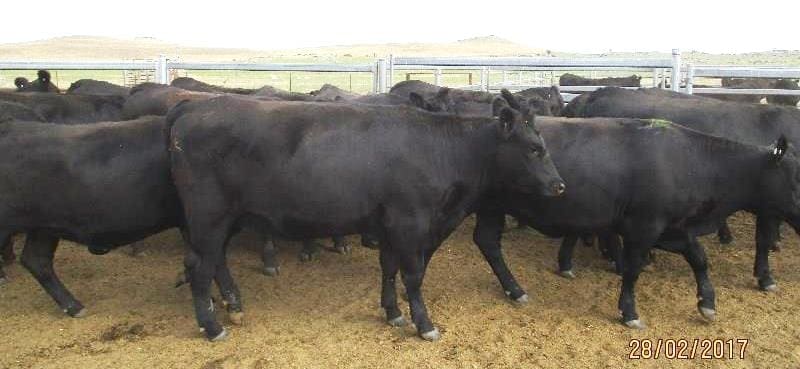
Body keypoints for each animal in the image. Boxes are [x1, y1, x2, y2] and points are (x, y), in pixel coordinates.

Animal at [164, 95, 564, 340]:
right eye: (534, 148)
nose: (560, 185)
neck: (442, 149)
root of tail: (194, 107)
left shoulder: (388, 226)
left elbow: (388, 268)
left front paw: (392, 312)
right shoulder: (410, 222)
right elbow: (413, 275)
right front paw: (424, 324)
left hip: (224, 219)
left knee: (215, 262)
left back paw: (233, 305)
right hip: (208, 216)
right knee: (199, 266)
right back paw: (212, 325)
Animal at [472, 117, 800, 328]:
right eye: (795, 179)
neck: (691, 163)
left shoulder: (674, 228)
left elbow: (699, 258)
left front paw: (707, 301)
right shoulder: (644, 228)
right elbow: (632, 270)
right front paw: (629, 311)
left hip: (492, 209)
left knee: (487, 241)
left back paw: (514, 289)